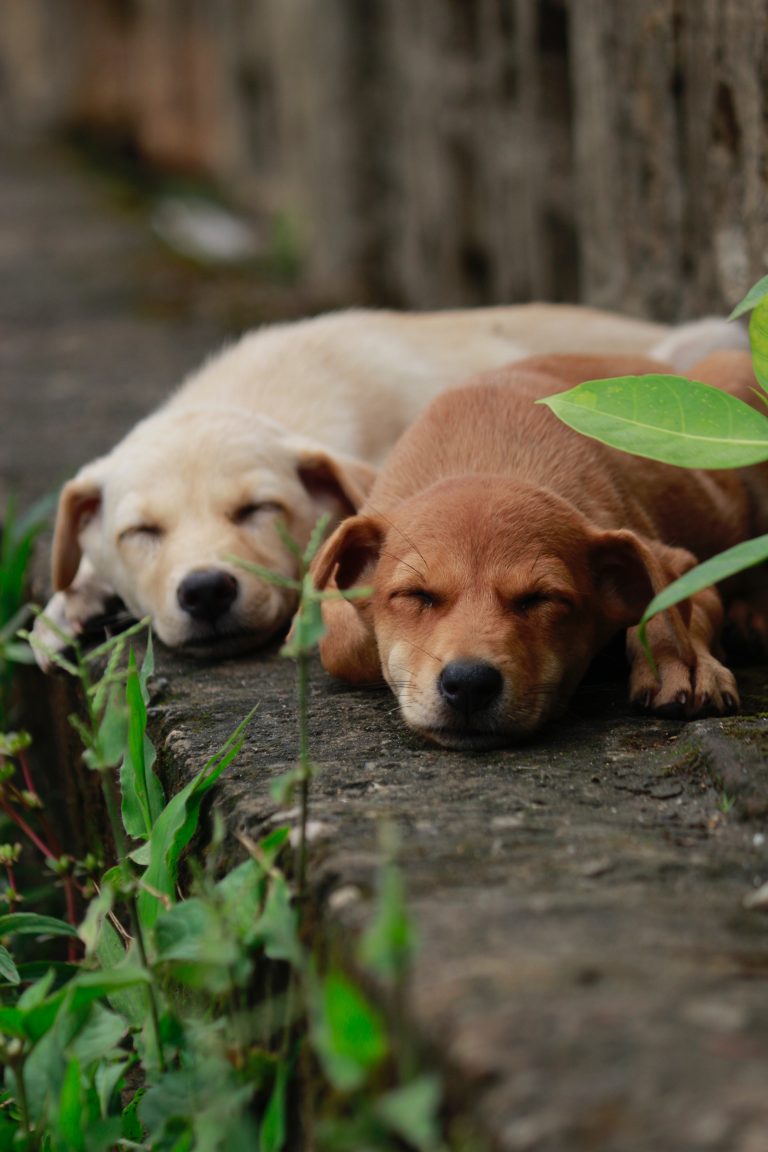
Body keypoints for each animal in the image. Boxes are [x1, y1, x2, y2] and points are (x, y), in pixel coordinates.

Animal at [308, 350, 764, 746]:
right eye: (416, 595)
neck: (486, 453)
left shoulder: (681, 562)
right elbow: (344, 643)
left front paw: (685, 664)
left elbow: (672, 607)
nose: (469, 684)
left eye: (542, 598)